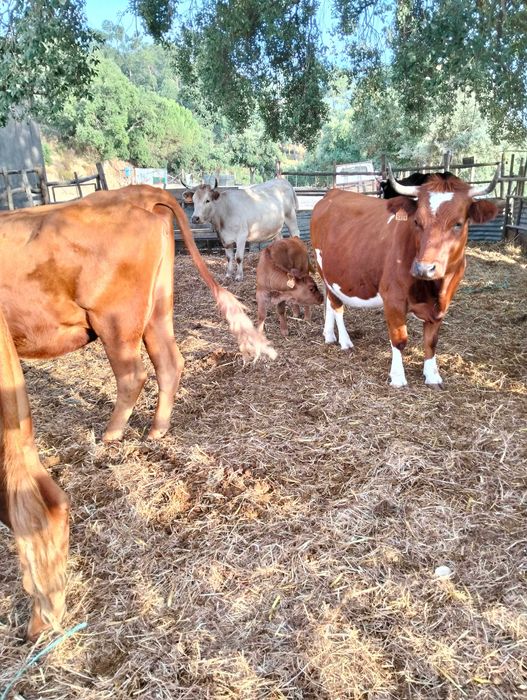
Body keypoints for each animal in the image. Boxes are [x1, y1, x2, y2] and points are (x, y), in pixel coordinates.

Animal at [0, 185, 275, 442]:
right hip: (158, 308)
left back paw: (111, 434)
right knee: (168, 363)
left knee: (132, 375)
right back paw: (157, 430)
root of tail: (137, 192)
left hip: (116, 322)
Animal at [311, 166, 499, 387]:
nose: (424, 268)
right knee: (336, 305)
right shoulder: (393, 298)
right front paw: (398, 377)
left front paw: (432, 375)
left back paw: (329, 334)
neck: (434, 289)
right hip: (324, 269)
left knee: (329, 301)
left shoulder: (442, 305)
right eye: (417, 221)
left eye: (458, 224)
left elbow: (431, 341)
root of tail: (333, 193)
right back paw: (344, 340)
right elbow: (399, 340)